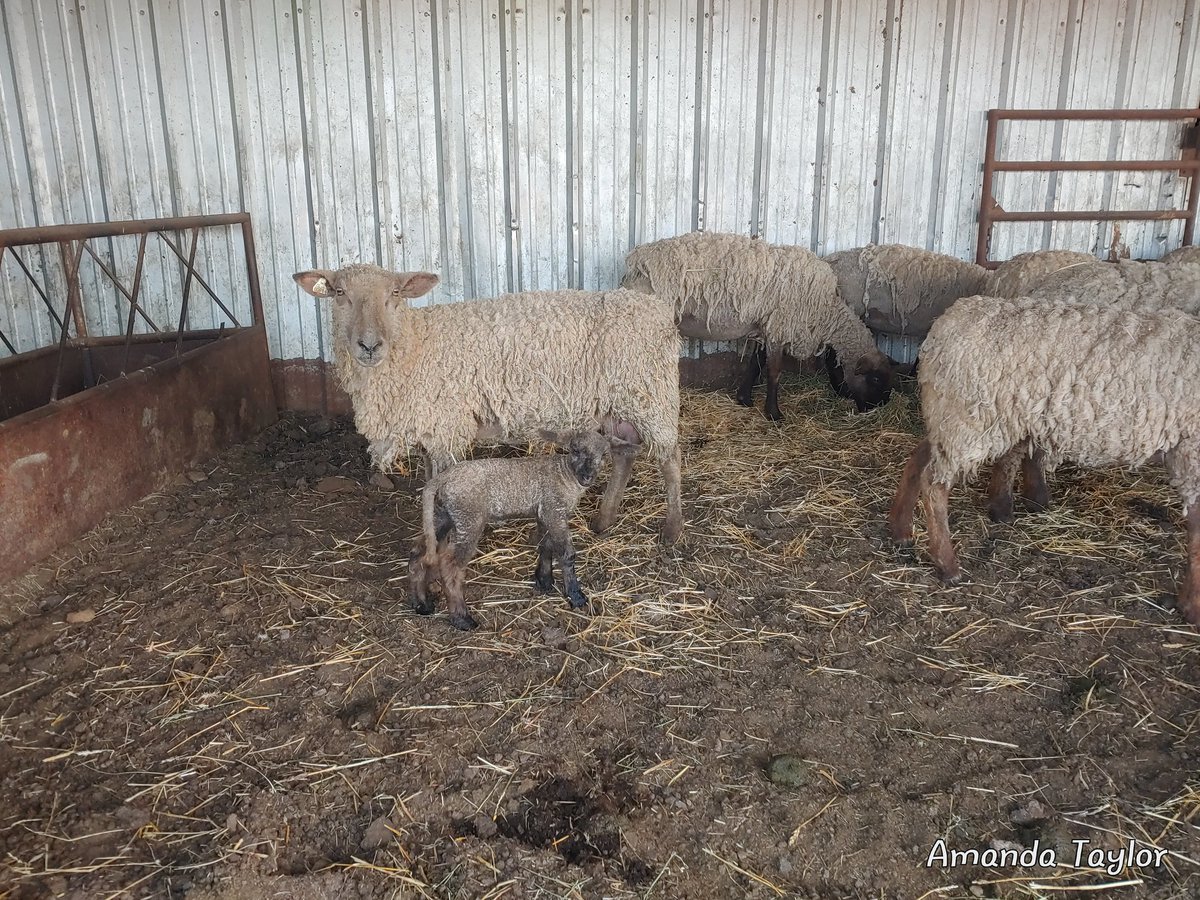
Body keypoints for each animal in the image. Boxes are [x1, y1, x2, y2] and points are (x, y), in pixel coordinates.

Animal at [292, 265, 683, 543]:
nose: (369, 346)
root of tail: (659, 310)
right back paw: (604, 520)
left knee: (670, 457)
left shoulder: (447, 424)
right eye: (339, 293)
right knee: (625, 453)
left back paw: (673, 529)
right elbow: (432, 482)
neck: (415, 342)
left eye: (395, 293)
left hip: (649, 392)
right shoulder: (431, 426)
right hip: (619, 401)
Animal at [408, 431, 610, 630]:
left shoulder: (545, 514)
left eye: (603, 455)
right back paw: (462, 618)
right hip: (469, 519)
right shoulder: (555, 511)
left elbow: (545, 545)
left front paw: (544, 581)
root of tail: (442, 478)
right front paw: (576, 596)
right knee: (451, 566)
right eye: (575, 450)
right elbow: (567, 554)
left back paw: (422, 604)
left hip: (444, 515)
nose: (587, 477)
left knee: (418, 551)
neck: (566, 474)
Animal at [621, 232, 893, 420]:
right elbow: (774, 372)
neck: (824, 308)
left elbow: (756, 363)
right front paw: (773, 413)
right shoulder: (779, 328)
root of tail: (635, 262)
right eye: (875, 379)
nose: (879, 407)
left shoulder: (766, 327)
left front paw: (744, 399)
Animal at [888, 294, 1200, 625]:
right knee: (934, 483)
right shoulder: (1192, 453)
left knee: (919, 459)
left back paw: (901, 532)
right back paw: (947, 565)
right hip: (970, 419)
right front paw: (1192, 606)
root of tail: (944, 326)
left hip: (955, 417)